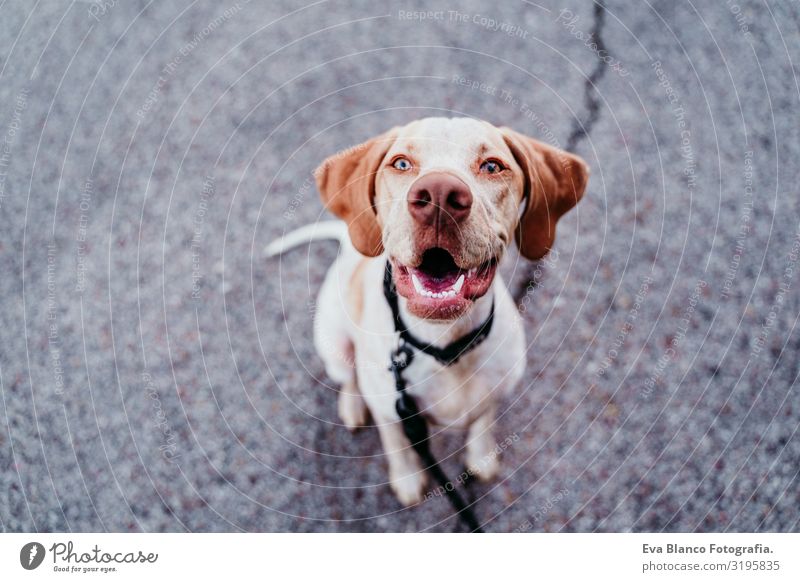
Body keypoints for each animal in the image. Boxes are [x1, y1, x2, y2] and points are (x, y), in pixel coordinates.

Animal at [268, 117, 588, 506]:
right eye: (402, 163)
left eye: (492, 166)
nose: (438, 194)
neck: (446, 346)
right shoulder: (392, 411)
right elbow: (397, 446)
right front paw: (407, 479)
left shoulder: (494, 392)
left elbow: (484, 422)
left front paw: (482, 456)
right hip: (334, 342)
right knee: (349, 378)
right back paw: (352, 405)